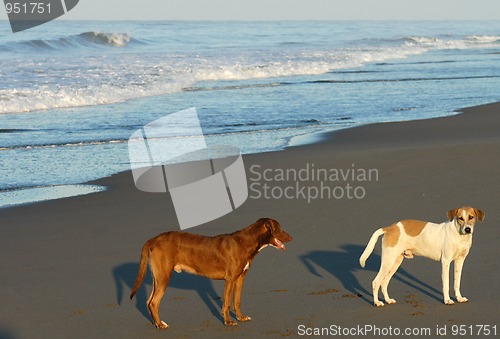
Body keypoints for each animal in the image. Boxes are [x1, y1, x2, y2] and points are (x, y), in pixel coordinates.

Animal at [130, 218, 292, 330]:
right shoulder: (230, 279)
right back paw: (160, 325)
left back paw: (156, 323)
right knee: (154, 302)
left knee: (149, 301)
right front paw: (228, 322)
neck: (247, 242)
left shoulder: (241, 278)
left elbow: (237, 301)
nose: (292, 237)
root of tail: (153, 239)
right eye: (279, 228)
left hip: (158, 277)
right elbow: (226, 303)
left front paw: (241, 317)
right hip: (164, 277)